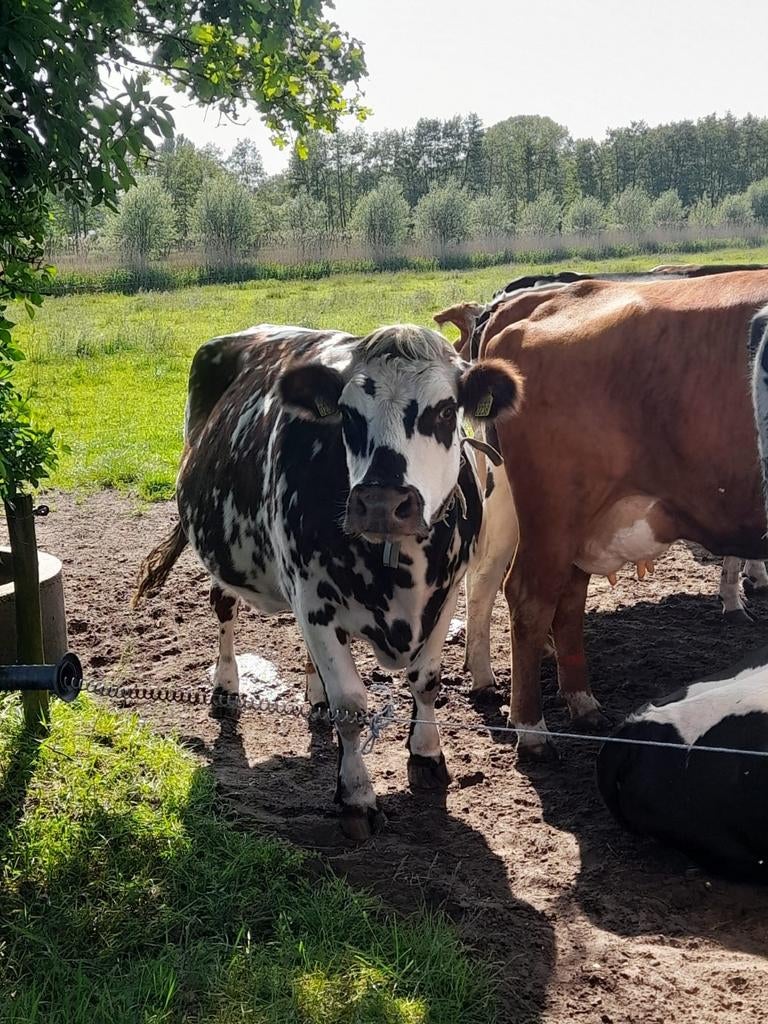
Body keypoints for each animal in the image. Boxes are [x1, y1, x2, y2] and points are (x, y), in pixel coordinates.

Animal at [132, 323, 522, 837]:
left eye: (443, 410)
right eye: (346, 414)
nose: (381, 502)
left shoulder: (446, 592)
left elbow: (427, 681)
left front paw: (426, 756)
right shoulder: (313, 599)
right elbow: (352, 706)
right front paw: (357, 795)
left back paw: (313, 695)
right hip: (223, 553)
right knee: (224, 609)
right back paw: (226, 687)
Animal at [447, 272, 768, 761]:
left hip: (566, 519)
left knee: (560, 597)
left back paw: (580, 703)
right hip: (553, 513)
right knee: (525, 595)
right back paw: (532, 729)